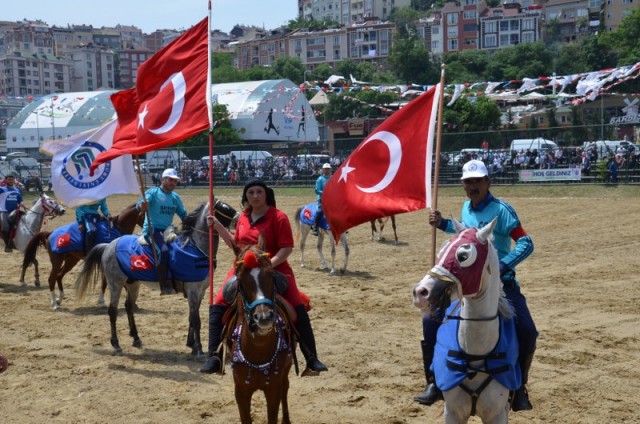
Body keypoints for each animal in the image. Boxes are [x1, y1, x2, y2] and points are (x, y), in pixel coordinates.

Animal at [226, 235, 294, 424]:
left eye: (271, 275)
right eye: (240, 279)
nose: (263, 318)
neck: (258, 350)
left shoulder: (273, 389)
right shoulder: (241, 391)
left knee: (286, 388)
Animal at [410, 219, 520, 424]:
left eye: (463, 256)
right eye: (440, 253)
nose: (420, 292)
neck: (474, 356)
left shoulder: (498, 414)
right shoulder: (453, 413)